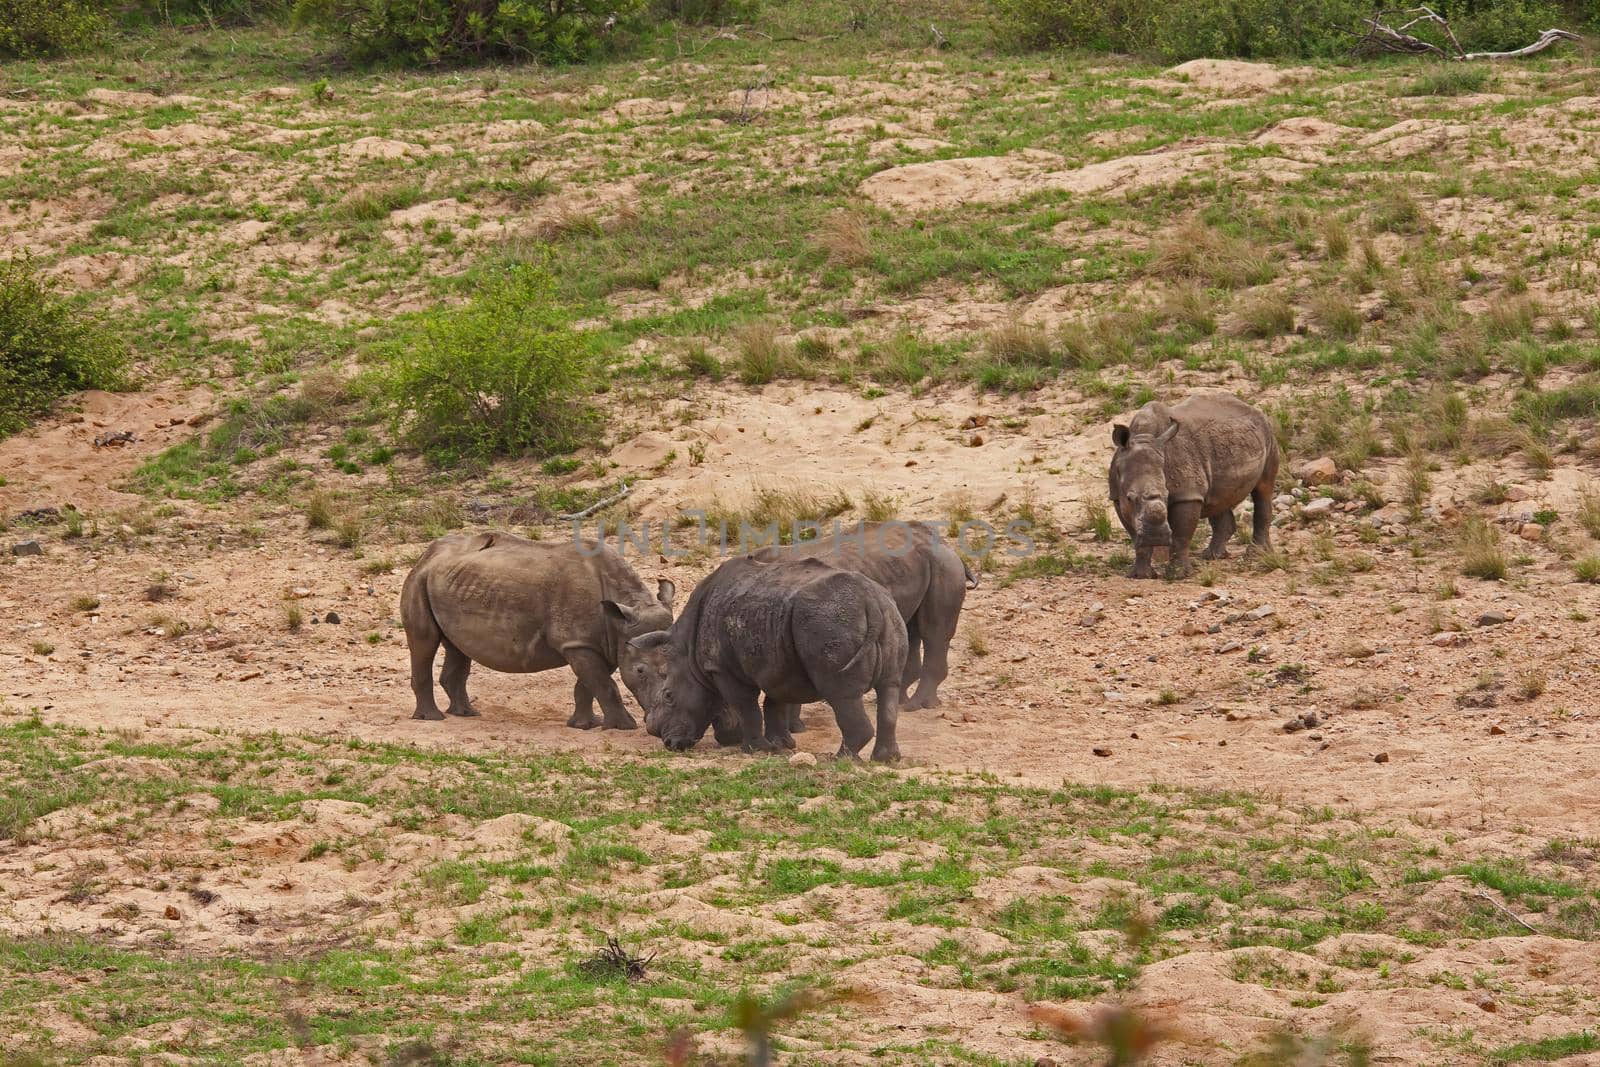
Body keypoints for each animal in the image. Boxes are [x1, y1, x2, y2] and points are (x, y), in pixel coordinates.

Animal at [406, 531, 675, 729]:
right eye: (640, 671)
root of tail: (428, 554)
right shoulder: (579, 643)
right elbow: (605, 685)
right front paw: (623, 727)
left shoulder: (603, 643)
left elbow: (589, 685)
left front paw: (584, 725)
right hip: (419, 579)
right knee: (424, 641)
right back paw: (432, 718)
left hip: (450, 582)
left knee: (457, 647)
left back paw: (466, 713)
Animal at [636, 556, 915, 764]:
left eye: (669, 696)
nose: (670, 744)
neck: (688, 653)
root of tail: (871, 600)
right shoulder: (777, 660)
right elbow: (776, 701)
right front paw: (781, 745)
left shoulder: (721, 668)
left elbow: (745, 704)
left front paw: (755, 749)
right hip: (886, 613)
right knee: (889, 686)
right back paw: (887, 759)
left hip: (828, 621)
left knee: (840, 693)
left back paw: (842, 759)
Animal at [1107, 391, 1280, 579]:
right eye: (1130, 498)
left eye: (1167, 495)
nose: (1156, 537)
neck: (1143, 437)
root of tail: (1255, 409)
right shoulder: (1117, 497)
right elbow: (1134, 536)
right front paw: (1140, 576)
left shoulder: (1187, 495)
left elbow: (1181, 535)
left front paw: (1178, 575)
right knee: (1218, 498)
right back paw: (1213, 556)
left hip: (1269, 433)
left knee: (1263, 489)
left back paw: (1256, 554)